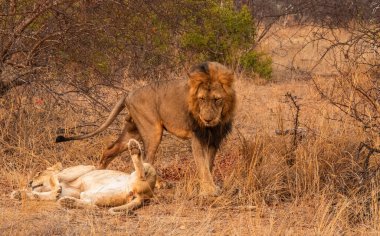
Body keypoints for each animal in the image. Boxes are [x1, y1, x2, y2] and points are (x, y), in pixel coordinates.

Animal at [10, 139, 156, 215]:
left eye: (38, 173)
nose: (29, 182)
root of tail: (144, 197)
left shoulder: (86, 167)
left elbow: (56, 177)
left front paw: (55, 188)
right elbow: (41, 195)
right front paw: (19, 194)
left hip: (147, 168)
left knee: (141, 172)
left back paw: (134, 147)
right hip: (98, 195)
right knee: (93, 205)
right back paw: (67, 202)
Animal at [55, 61, 235, 196]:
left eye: (217, 99)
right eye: (201, 99)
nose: (207, 119)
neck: (216, 121)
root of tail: (128, 94)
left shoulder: (215, 139)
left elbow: (209, 164)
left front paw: (208, 185)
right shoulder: (197, 137)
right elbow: (202, 164)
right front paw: (210, 190)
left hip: (132, 130)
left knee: (109, 149)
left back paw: (100, 173)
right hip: (152, 130)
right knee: (147, 158)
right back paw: (159, 184)